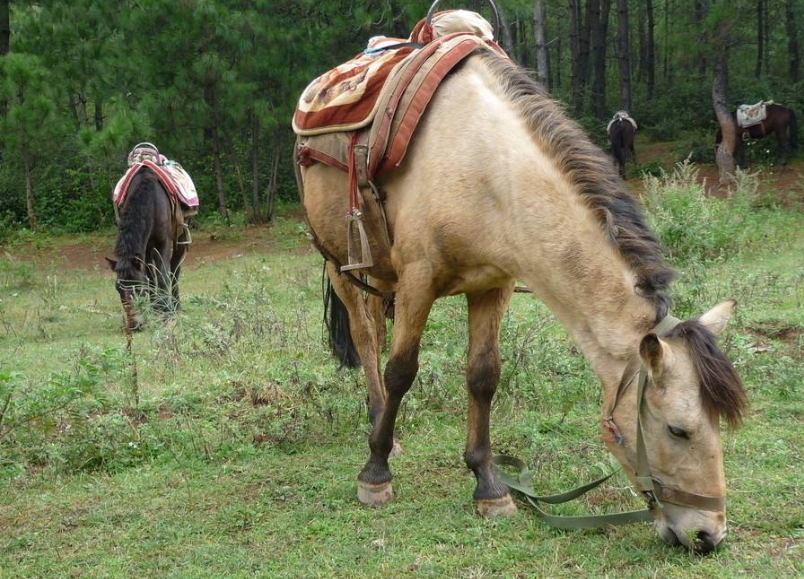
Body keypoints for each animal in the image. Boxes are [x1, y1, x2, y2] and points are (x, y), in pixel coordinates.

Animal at [106, 169, 186, 330]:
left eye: (138, 289)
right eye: (118, 289)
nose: (134, 324)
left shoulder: (163, 242)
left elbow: (163, 276)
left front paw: (167, 313)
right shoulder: (147, 246)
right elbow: (150, 277)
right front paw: (155, 309)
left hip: (179, 236)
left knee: (174, 268)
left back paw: (175, 304)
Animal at [298, 51, 752, 552]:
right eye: (678, 429)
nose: (709, 535)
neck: (482, 166)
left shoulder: (492, 284)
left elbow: (483, 376)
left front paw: (488, 485)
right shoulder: (419, 277)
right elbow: (402, 371)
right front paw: (375, 474)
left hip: (380, 275)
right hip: (341, 265)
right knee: (366, 339)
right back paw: (382, 429)